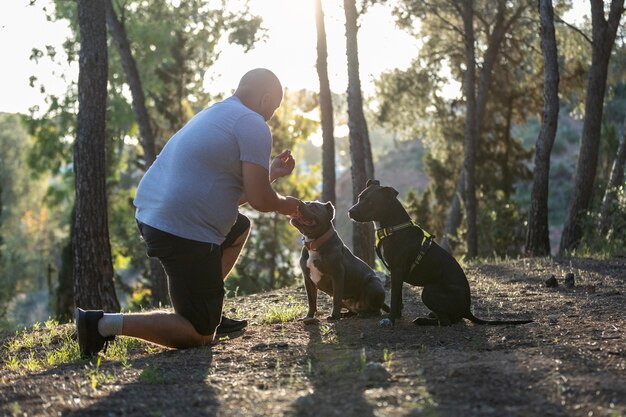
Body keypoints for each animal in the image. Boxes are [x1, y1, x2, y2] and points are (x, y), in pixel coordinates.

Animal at [348, 180, 528, 326]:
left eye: (370, 201)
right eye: (359, 197)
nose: (350, 211)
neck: (393, 227)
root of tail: (467, 309)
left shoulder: (397, 270)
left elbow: (393, 298)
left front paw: (390, 320)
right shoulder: (395, 273)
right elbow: (397, 299)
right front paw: (397, 317)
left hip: (428, 291)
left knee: (447, 322)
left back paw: (423, 320)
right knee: (452, 319)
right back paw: (431, 316)